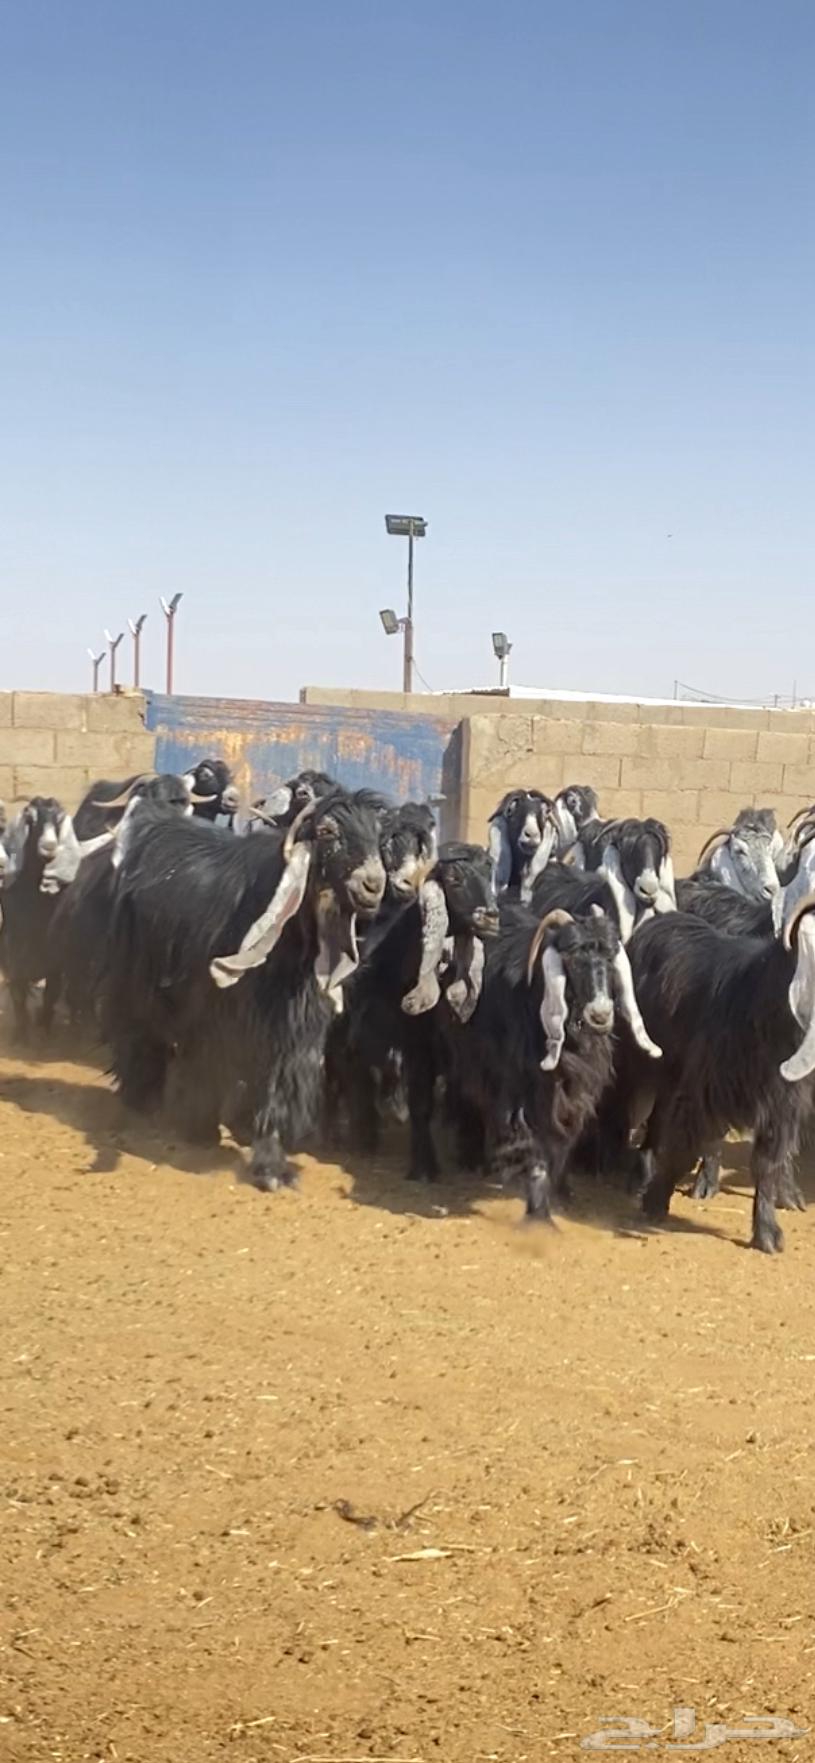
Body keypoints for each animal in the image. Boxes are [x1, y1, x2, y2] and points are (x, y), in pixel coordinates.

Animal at [105, 790, 387, 1188]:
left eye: (378, 833)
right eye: (328, 832)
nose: (373, 885)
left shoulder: (293, 1030)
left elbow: (277, 1087)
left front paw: (271, 1166)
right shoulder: (217, 1015)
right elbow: (211, 1064)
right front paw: (203, 1132)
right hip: (135, 980)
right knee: (139, 1037)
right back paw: (139, 1106)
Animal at [626, 889, 815, 1252]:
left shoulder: (783, 1106)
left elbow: (767, 1163)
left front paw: (767, 1233)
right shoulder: (705, 1090)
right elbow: (685, 1149)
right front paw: (655, 1201)